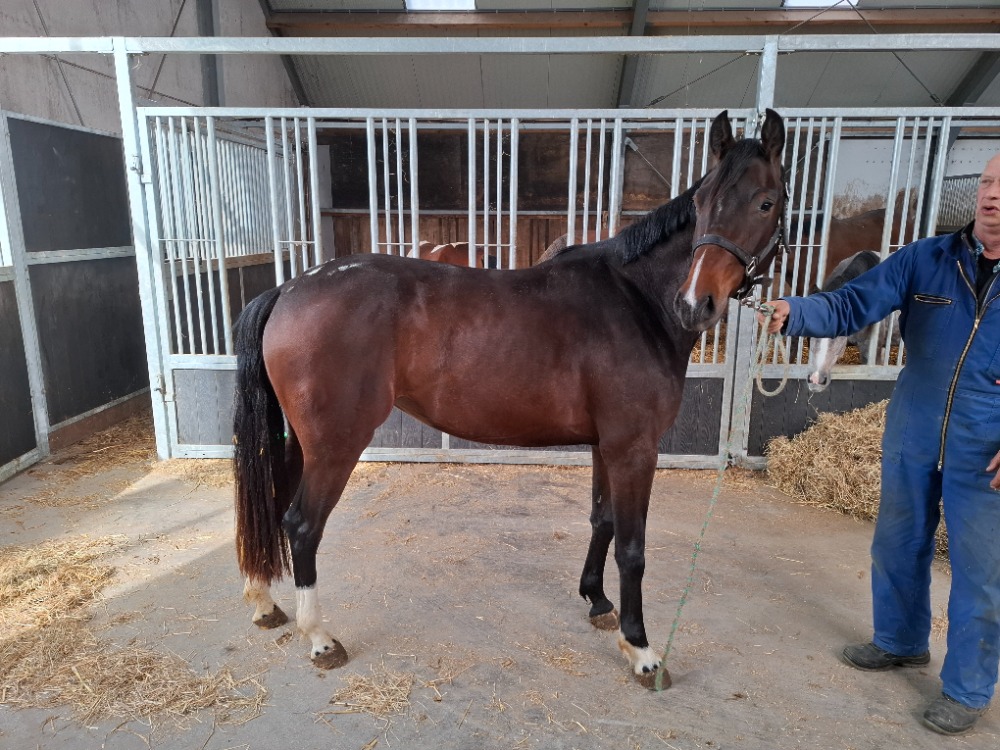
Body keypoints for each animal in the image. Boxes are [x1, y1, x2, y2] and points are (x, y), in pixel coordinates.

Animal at [231, 108, 787, 688]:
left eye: (766, 202)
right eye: (701, 204)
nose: (696, 304)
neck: (636, 301)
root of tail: (289, 288)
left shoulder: (607, 446)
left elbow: (603, 521)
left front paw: (596, 601)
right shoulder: (635, 448)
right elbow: (632, 549)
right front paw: (640, 649)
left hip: (301, 441)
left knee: (273, 508)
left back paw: (266, 603)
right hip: (336, 445)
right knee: (301, 525)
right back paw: (319, 638)